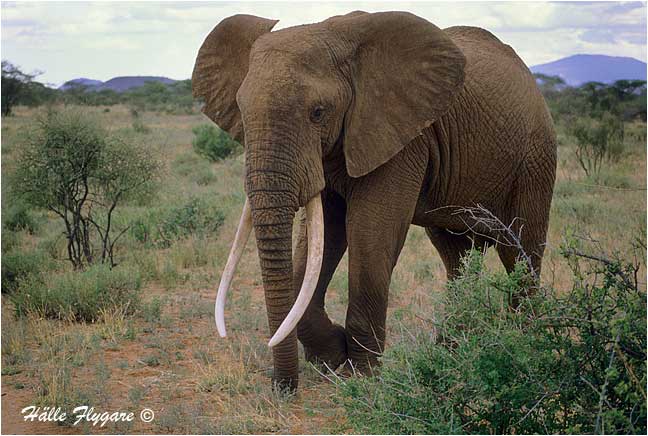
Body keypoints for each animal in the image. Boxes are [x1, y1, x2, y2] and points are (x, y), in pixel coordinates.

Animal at [192, 11, 557, 391]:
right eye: (241, 110)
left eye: (318, 112)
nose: (284, 388)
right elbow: (324, 237)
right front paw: (331, 356)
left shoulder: (402, 136)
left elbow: (369, 232)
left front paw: (359, 374)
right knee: (456, 256)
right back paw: (452, 354)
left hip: (535, 157)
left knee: (520, 251)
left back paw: (525, 347)